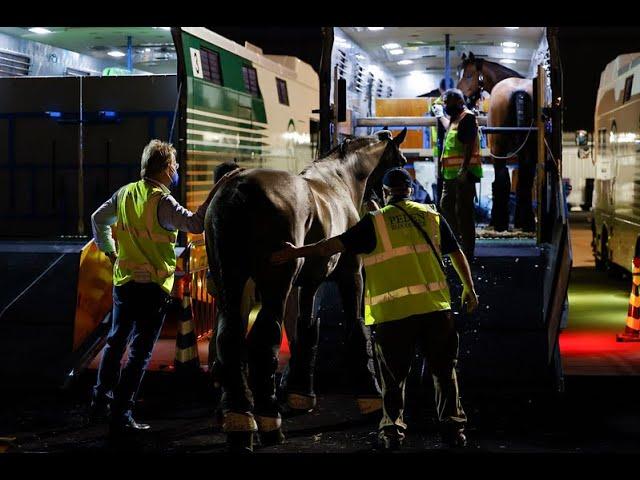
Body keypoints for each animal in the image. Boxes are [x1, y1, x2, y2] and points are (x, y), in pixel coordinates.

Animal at [202, 128, 408, 436]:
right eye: (400, 161)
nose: (381, 199)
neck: (338, 179)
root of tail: (238, 188)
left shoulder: (309, 283)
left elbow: (306, 329)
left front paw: (300, 392)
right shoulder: (351, 273)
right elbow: (356, 326)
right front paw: (369, 392)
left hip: (231, 283)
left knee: (229, 336)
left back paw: (239, 412)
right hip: (275, 285)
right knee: (265, 336)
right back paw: (267, 415)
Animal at [458, 52, 536, 232]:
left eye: (469, 75)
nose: (462, 98)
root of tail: (519, 91)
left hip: (498, 148)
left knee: (502, 180)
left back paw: (499, 223)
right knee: (525, 180)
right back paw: (527, 223)